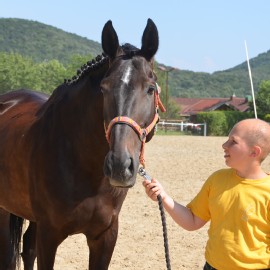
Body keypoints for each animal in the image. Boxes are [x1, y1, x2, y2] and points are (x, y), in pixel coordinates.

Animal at [0, 17, 162, 268]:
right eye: (104, 89)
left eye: (150, 88)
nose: (119, 166)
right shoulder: (49, 235)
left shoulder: (105, 236)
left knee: (27, 248)